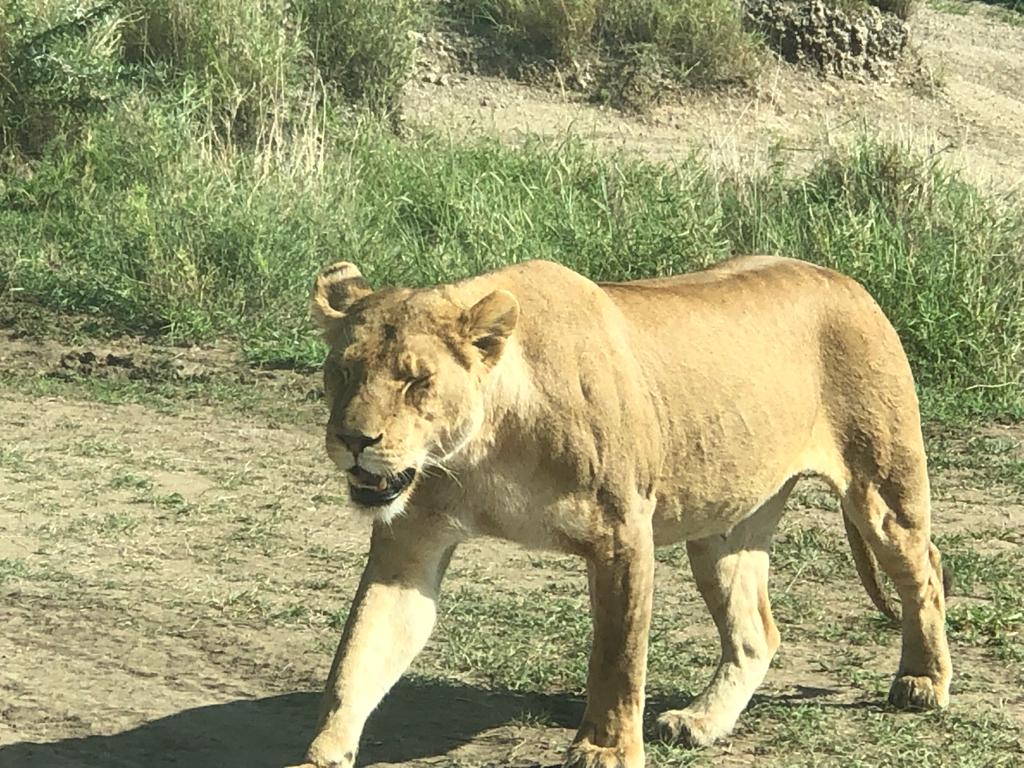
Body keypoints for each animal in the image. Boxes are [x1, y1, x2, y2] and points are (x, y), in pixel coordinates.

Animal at [290, 256, 951, 768]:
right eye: (343, 371)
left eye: (416, 381)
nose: (353, 439)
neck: (481, 450)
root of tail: (842, 278)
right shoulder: (409, 546)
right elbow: (358, 658)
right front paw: (321, 753)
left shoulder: (621, 533)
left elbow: (617, 657)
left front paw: (604, 751)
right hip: (723, 526)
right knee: (756, 631)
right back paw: (702, 721)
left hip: (880, 488)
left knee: (925, 570)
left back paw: (923, 681)